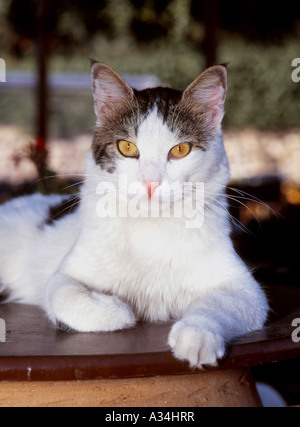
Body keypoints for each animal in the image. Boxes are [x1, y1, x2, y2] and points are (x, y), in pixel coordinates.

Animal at [0, 61, 268, 370]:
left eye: (180, 150)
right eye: (127, 148)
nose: (150, 183)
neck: (150, 228)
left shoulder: (247, 291)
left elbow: (215, 305)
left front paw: (196, 336)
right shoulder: (63, 276)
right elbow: (67, 295)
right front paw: (120, 310)